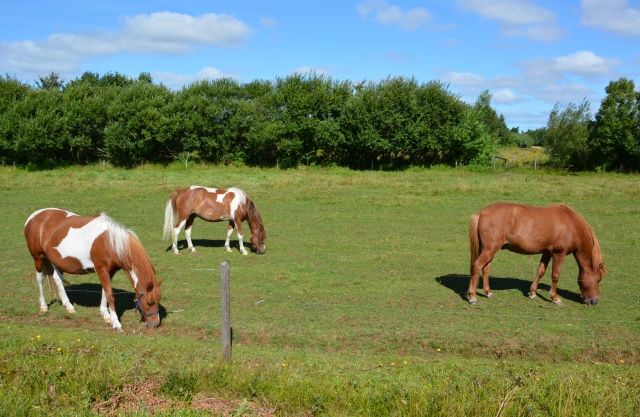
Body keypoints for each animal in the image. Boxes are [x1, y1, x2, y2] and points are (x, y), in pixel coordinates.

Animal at [24, 208, 165, 332]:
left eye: (158, 300)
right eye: (149, 302)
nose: (155, 324)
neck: (111, 242)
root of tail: (33, 216)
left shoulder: (110, 271)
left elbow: (104, 292)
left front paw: (105, 315)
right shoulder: (101, 269)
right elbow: (110, 295)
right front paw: (116, 323)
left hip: (59, 261)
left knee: (58, 279)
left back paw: (69, 306)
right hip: (38, 258)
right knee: (40, 279)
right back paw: (43, 306)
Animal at [468, 202, 604, 304]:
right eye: (598, 280)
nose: (594, 301)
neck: (571, 225)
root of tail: (482, 213)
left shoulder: (547, 252)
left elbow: (540, 271)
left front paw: (533, 293)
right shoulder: (559, 254)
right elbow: (555, 275)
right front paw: (555, 298)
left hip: (490, 250)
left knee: (485, 269)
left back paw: (488, 292)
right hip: (490, 249)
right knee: (477, 266)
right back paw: (472, 296)